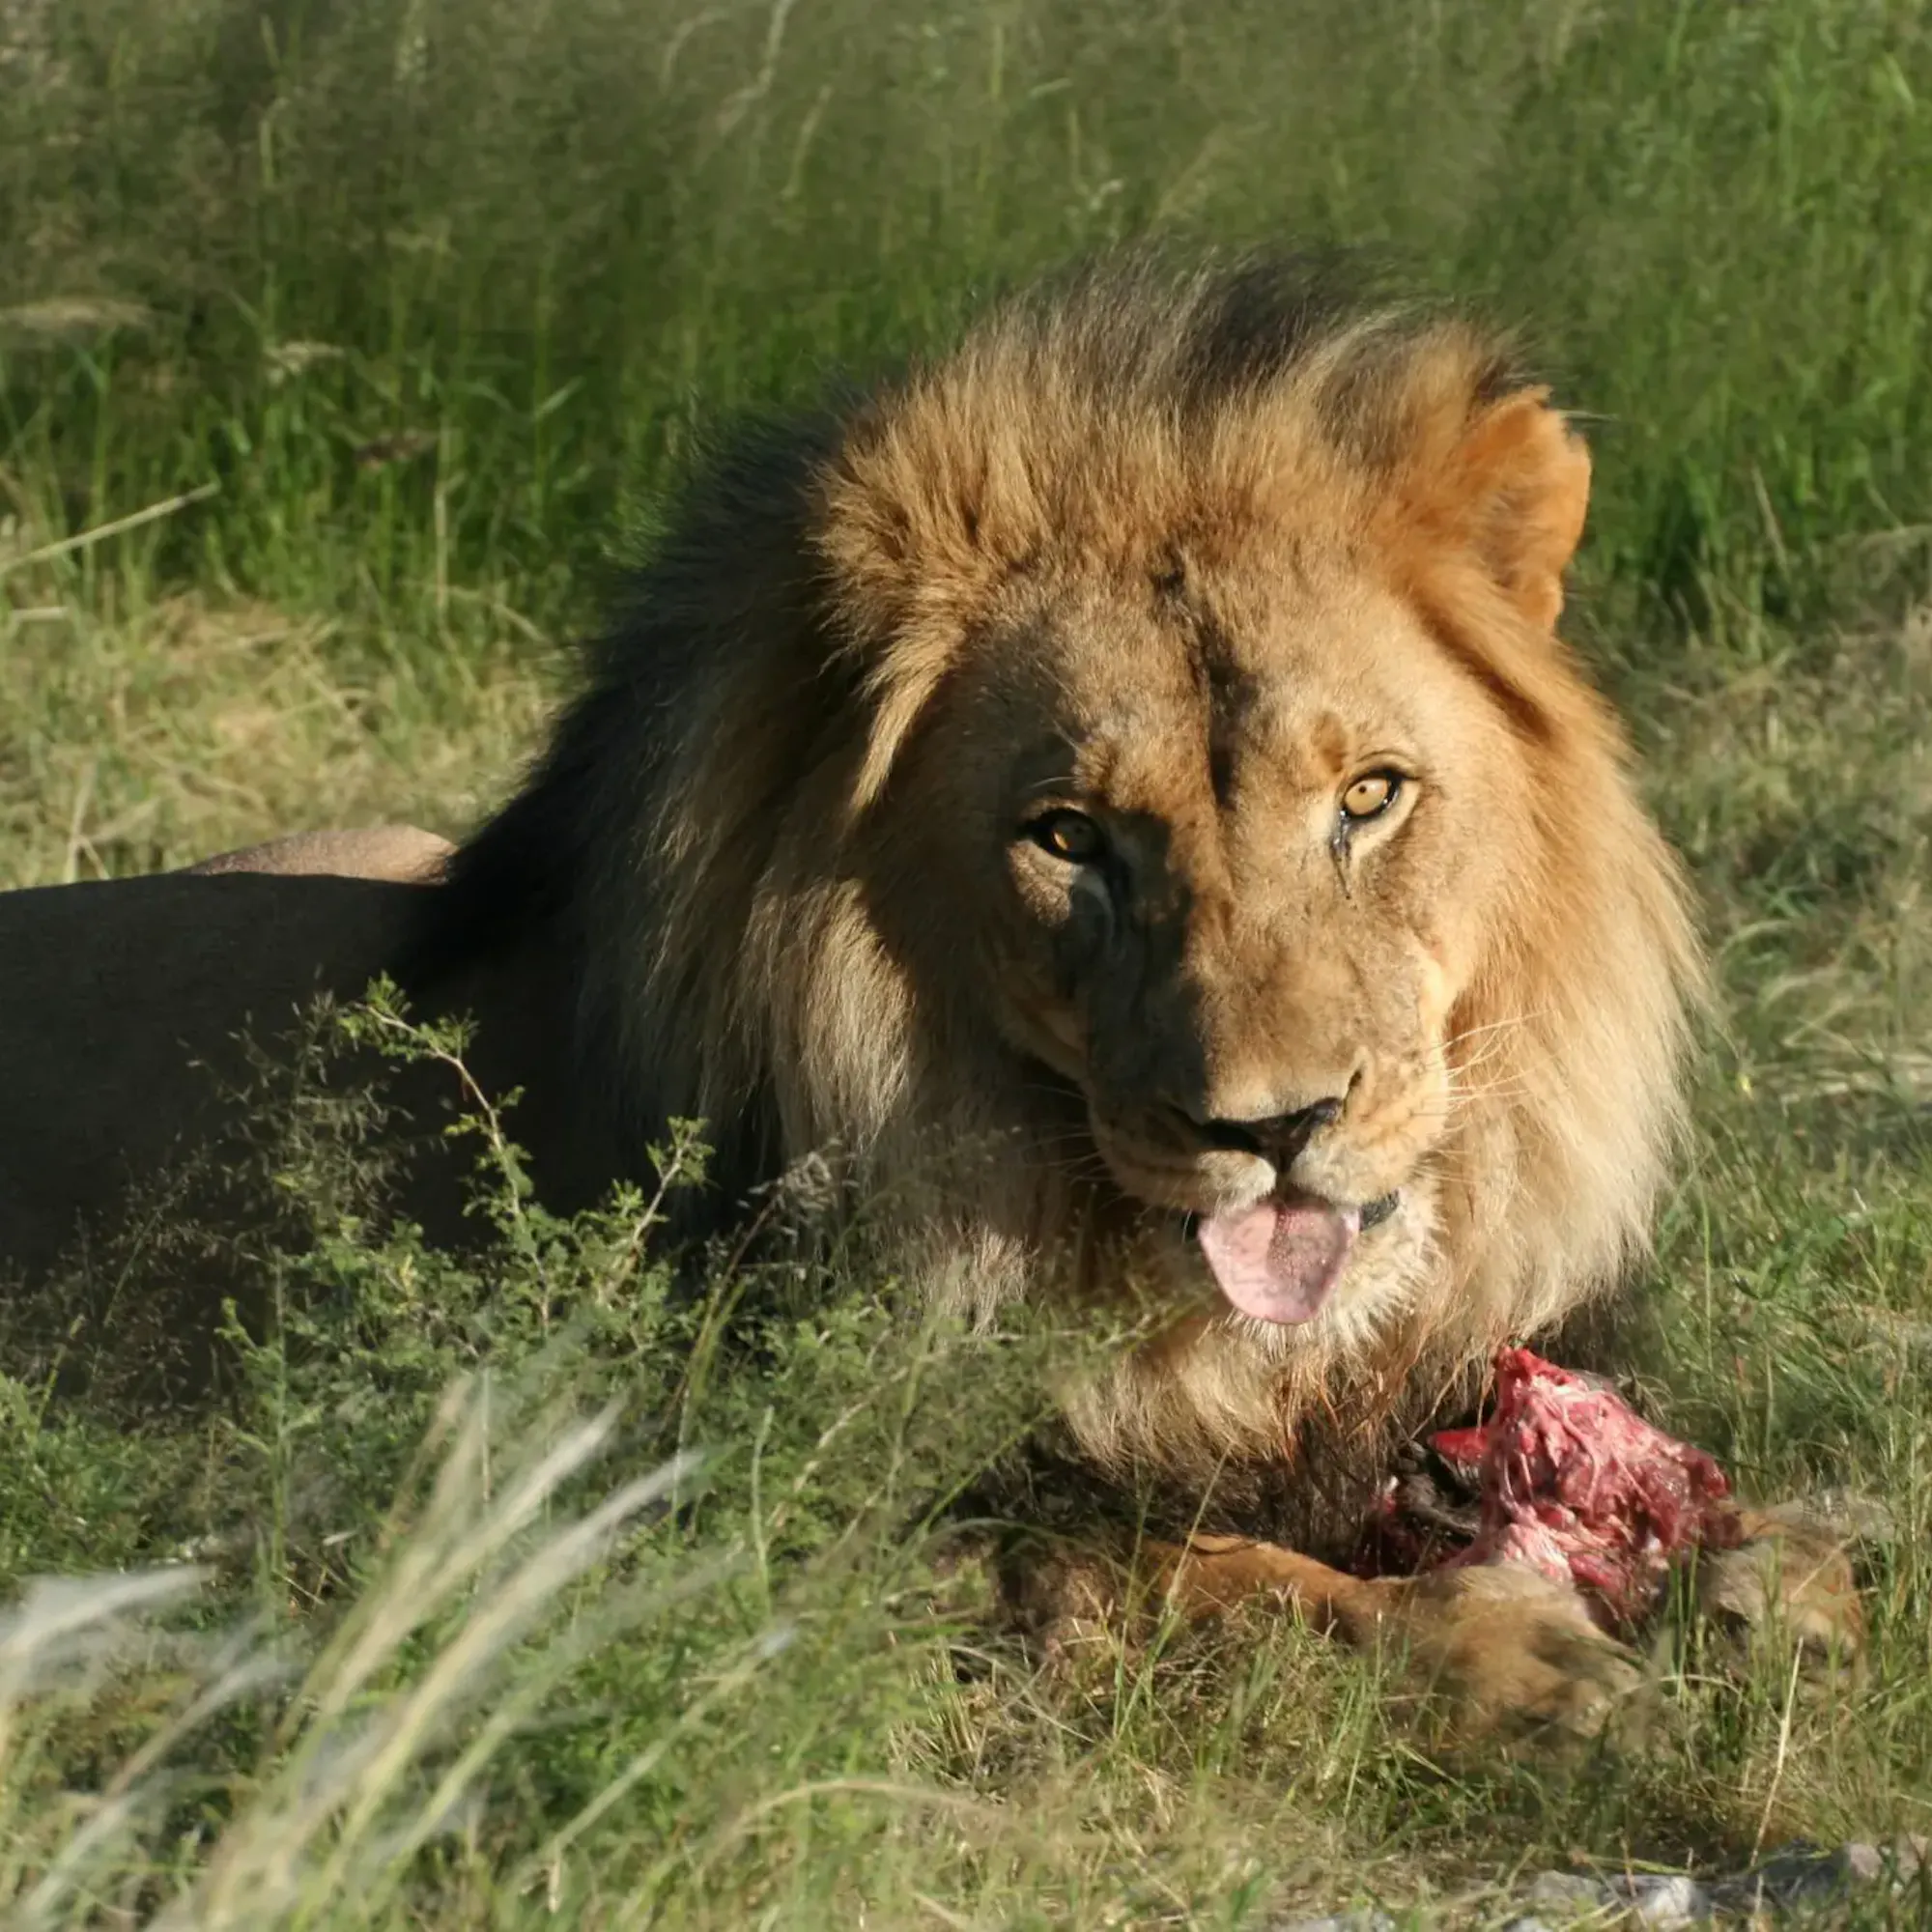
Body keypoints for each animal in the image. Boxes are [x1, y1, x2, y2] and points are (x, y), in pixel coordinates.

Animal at [0, 255, 1859, 1731]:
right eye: (1072, 839)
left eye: (1370, 797)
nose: (1279, 1131)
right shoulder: (786, 1516)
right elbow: (1210, 1570)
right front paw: (1509, 1658)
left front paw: (1781, 1575)